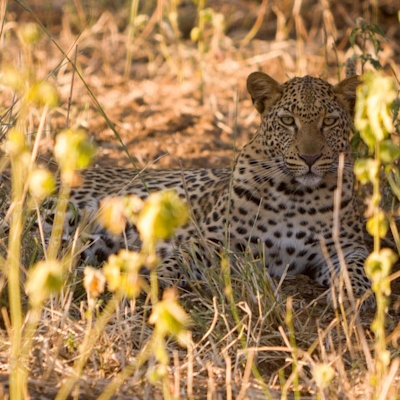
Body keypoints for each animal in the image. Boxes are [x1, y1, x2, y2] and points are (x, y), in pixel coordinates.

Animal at [43, 72, 372, 308]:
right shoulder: (212, 240)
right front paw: (155, 281)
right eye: (288, 121)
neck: (297, 196)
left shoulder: (345, 246)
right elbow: (179, 259)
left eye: (329, 121)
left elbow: (360, 265)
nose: (309, 158)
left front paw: (353, 292)